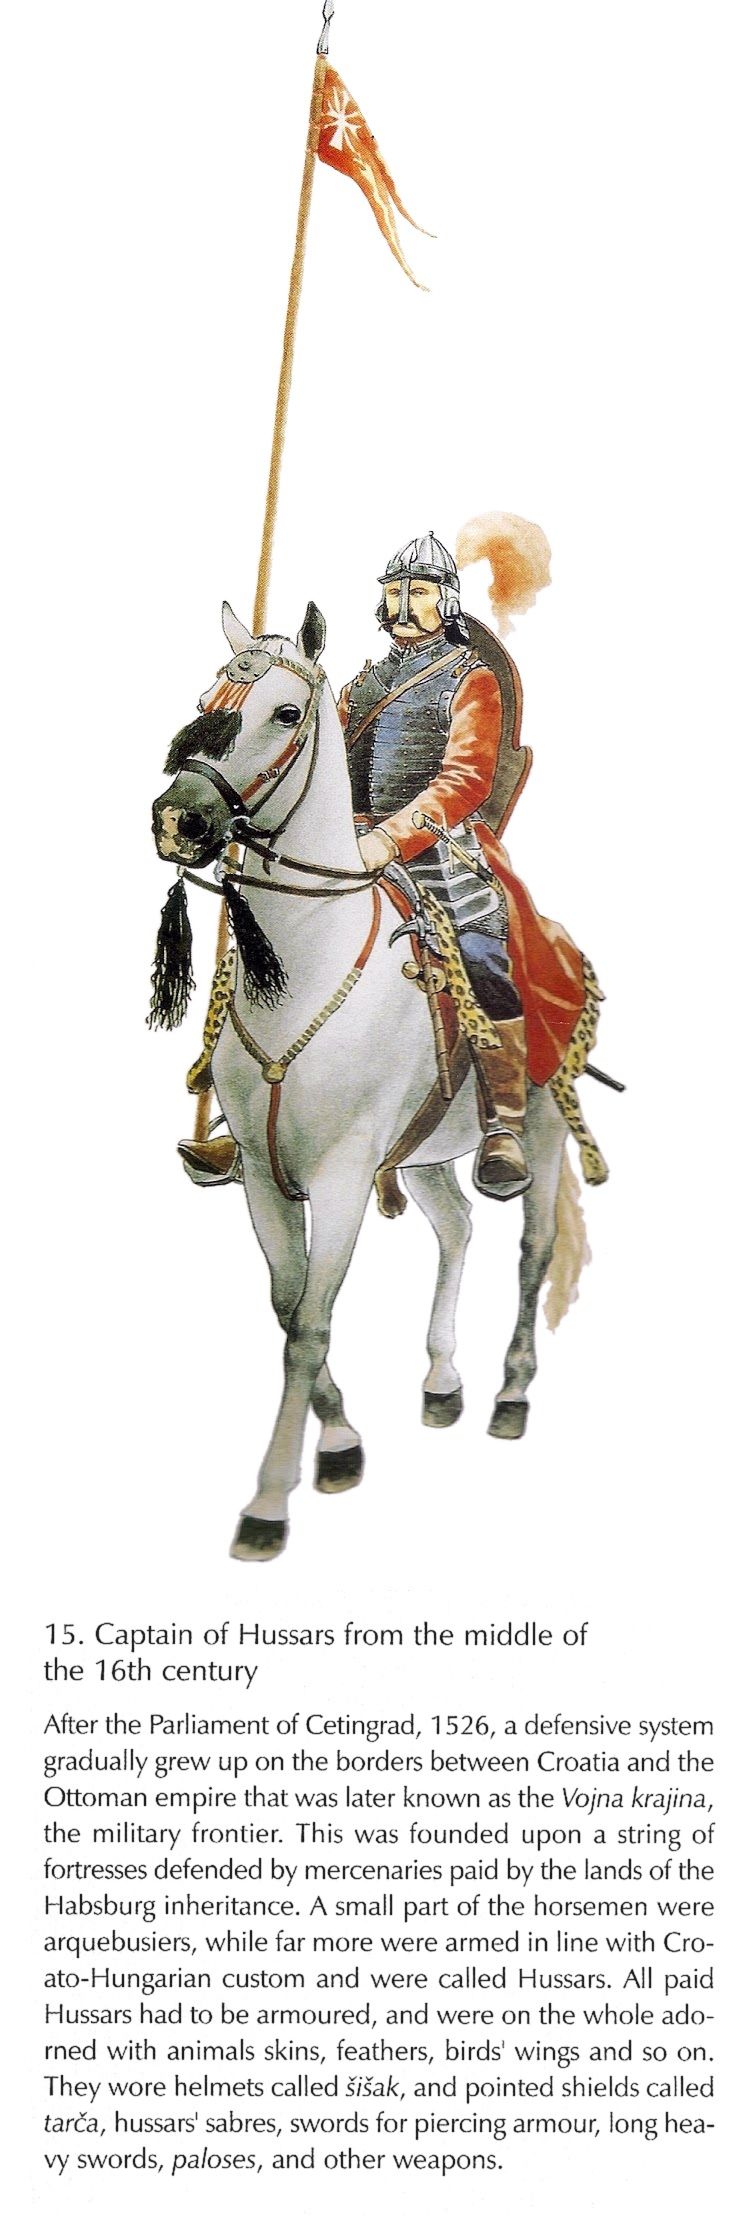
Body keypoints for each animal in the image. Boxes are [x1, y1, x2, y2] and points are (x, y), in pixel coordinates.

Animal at [151, 601, 591, 1561]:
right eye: (206, 701)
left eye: (284, 713)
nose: (178, 820)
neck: (303, 966)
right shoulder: (265, 1179)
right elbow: (287, 1308)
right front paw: (343, 1442)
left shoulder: (345, 1175)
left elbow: (311, 1325)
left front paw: (269, 1503)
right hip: (422, 1156)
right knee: (458, 1228)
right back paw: (442, 1380)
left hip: (539, 1133)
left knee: (532, 1250)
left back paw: (510, 1393)